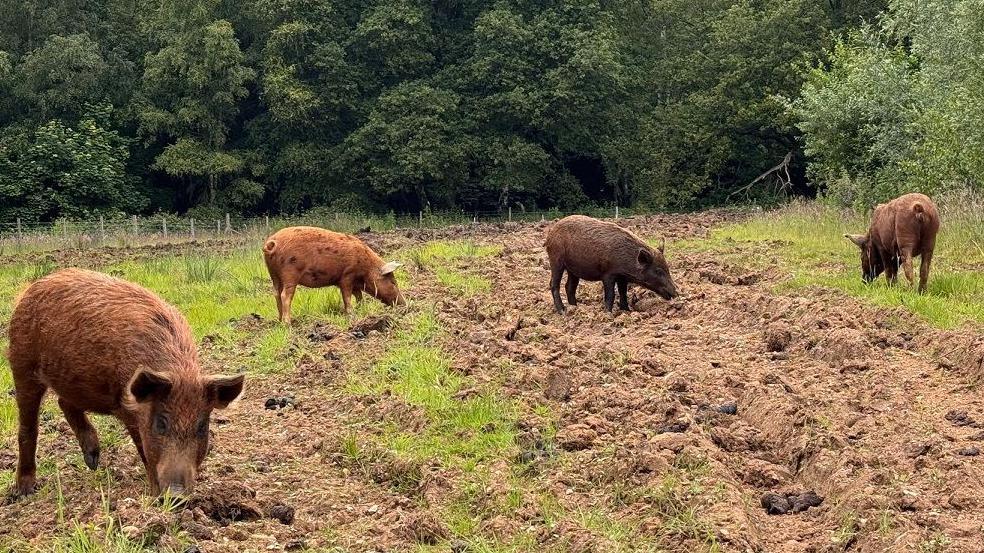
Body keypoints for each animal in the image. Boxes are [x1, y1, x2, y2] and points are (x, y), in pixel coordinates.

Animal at [7, 268, 244, 496]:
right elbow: (143, 448)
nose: (176, 495)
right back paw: (25, 491)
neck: (178, 372)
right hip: (21, 363)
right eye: (161, 423)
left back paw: (92, 461)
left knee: (64, 402)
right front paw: (155, 495)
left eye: (202, 426)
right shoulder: (128, 407)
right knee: (29, 425)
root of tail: (32, 287)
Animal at [264, 225, 406, 324]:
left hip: (274, 274)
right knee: (285, 295)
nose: (404, 304)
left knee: (276, 293)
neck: (366, 268)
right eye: (393, 282)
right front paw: (351, 314)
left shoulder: (354, 282)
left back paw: (279, 320)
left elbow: (359, 296)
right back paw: (288, 323)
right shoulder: (347, 275)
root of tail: (271, 243)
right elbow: (347, 296)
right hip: (290, 272)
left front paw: (361, 308)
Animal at [540, 213, 680, 312]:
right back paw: (563, 311)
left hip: (573, 269)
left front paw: (626, 310)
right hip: (556, 259)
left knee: (569, 286)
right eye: (658, 271)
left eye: (667, 268)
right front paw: (608, 313)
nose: (676, 293)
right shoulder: (608, 273)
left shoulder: (623, 277)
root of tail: (550, 235)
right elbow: (611, 294)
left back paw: (575, 308)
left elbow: (623, 292)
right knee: (553, 284)